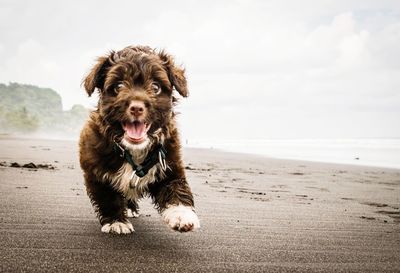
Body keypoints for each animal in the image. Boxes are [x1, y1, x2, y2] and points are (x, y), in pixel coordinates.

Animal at [79, 45, 200, 234]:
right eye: (119, 86)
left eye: (156, 87)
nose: (136, 107)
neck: (133, 150)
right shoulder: (95, 170)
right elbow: (108, 197)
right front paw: (116, 222)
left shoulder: (169, 163)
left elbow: (176, 187)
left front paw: (183, 215)